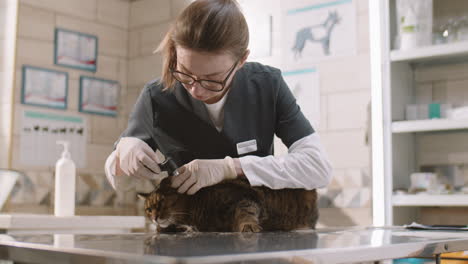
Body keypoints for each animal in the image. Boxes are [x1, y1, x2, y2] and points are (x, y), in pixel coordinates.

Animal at [136, 177, 318, 233]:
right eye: (149, 209)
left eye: (162, 202)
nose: (154, 217)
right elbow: (162, 229)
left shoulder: (245, 198)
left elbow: (245, 213)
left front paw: (247, 225)